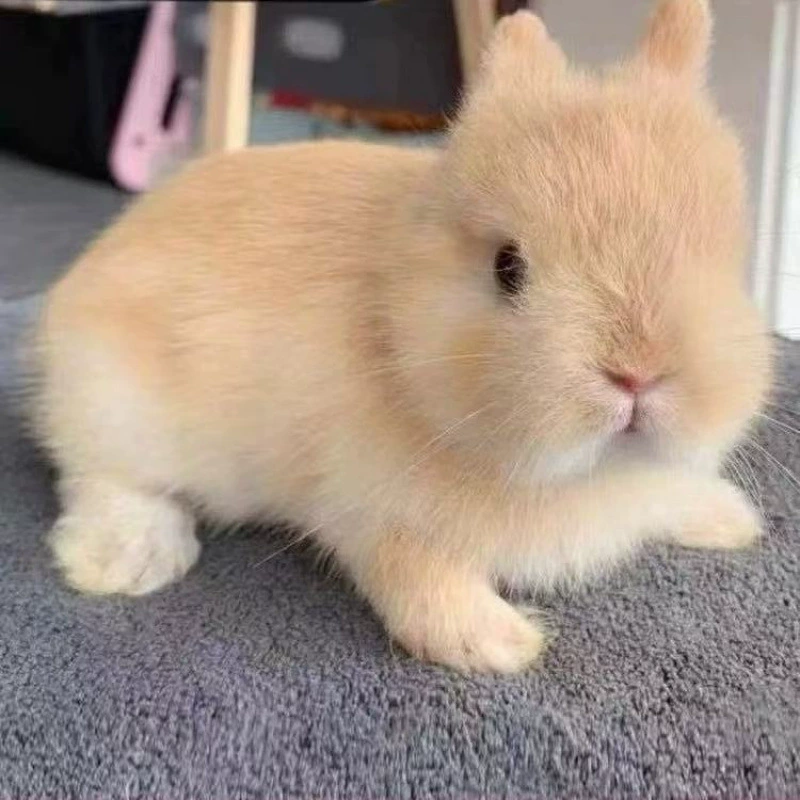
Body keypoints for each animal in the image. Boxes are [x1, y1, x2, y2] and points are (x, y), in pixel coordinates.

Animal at [32, 0, 771, 673]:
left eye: (721, 257)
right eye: (507, 267)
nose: (637, 371)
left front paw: (733, 519)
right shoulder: (368, 509)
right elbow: (413, 574)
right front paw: (498, 643)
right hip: (115, 404)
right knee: (102, 477)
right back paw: (129, 562)